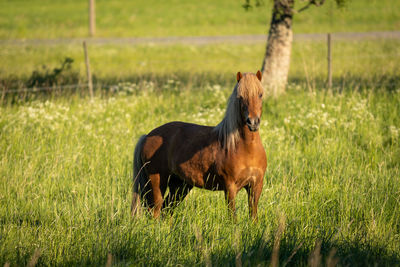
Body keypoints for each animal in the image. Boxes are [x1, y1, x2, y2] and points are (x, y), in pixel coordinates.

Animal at [131, 70, 268, 220]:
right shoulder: (230, 187)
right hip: (157, 181)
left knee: (166, 209)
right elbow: (233, 216)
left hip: (180, 186)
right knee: (155, 210)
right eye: (240, 97)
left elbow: (253, 216)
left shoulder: (256, 186)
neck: (245, 148)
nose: (253, 122)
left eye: (260, 94)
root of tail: (147, 136)